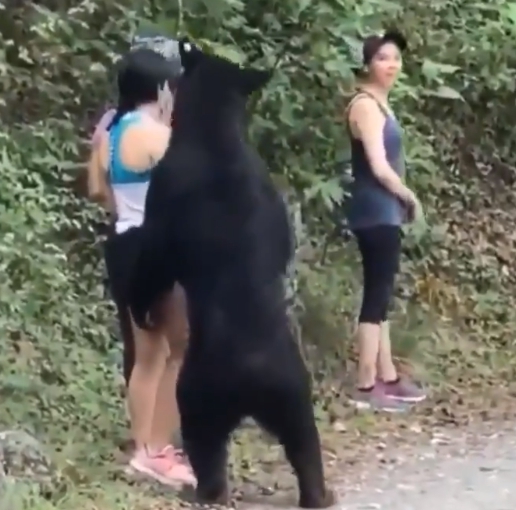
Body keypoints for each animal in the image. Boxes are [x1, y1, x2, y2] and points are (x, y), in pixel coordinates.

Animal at [128, 40, 334, 508]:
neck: (216, 132)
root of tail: (252, 377)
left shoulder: (165, 187)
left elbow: (155, 258)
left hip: (198, 391)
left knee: (204, 442)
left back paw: (207, 491)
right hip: (293, 391)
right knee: (305, 442)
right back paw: (319, 493)